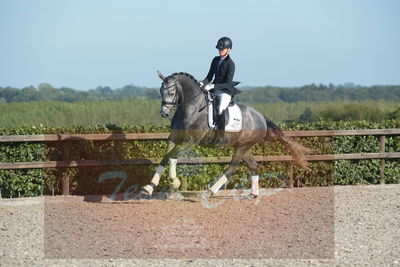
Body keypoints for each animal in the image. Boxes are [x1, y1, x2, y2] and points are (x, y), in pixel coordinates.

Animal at [141, 71, 312, 199]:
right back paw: (253, 194)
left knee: (231, 169)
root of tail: (261, 117)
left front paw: (174, 183)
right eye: (160, 91)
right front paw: (149, 187)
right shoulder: (174, 138)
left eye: (171, 92)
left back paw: (210, 191)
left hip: (242, 148)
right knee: (254, 166)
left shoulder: (191, 141)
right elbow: (166, 157)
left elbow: (172, 157)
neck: (191, 108)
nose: (164, 113)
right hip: (242, 147)